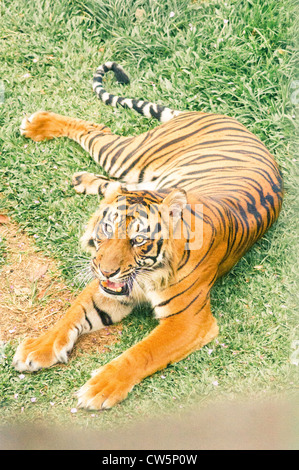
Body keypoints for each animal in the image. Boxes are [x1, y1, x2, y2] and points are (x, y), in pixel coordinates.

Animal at [12, 61, 284, 408]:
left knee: (100, 135)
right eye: (107, 229)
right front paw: (38, 348)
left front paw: (100, 388)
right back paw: (40, 126)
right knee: (96, 133)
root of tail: (224, 117)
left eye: (138, 240)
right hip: (130, 159)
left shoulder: (187, 320)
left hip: (129, 159)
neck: (145, 275)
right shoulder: (107, 291)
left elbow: (142, 352)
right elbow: (70, 316)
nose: (105, 271)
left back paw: (70, 164)